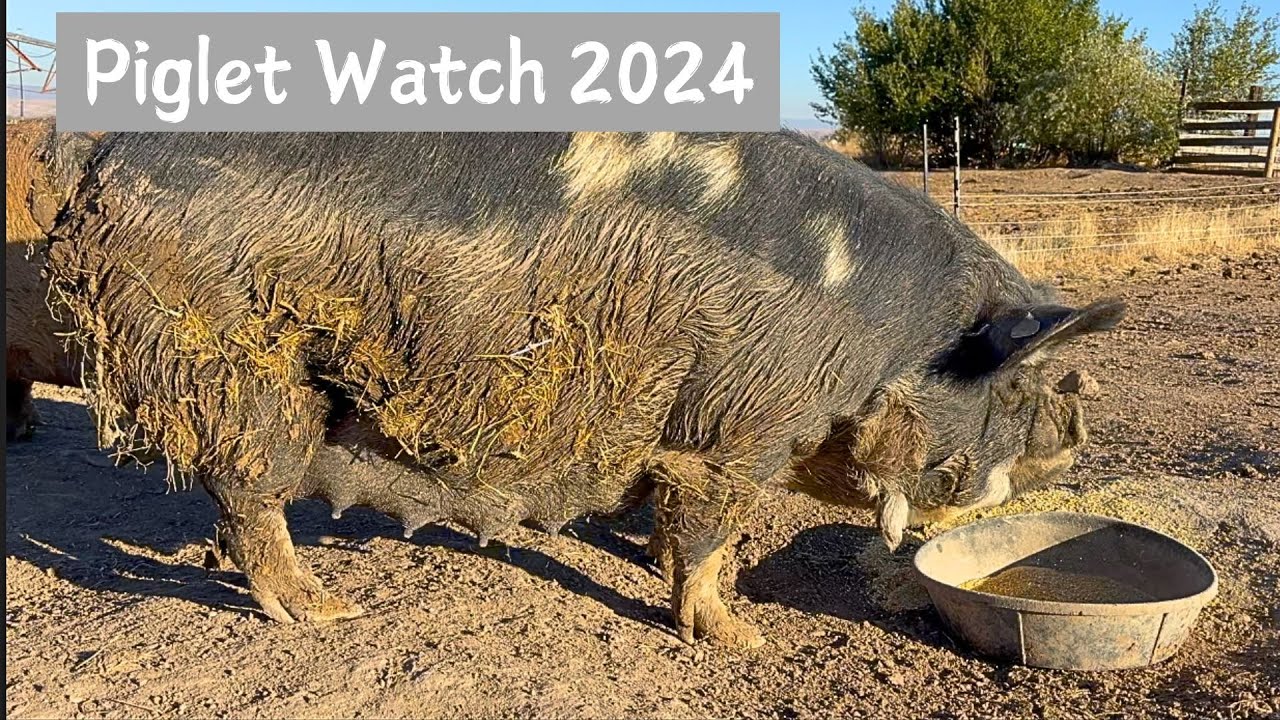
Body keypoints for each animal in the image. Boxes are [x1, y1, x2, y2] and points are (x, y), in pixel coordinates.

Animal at [46, 131, 1122, 647]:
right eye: (1023, 382)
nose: (1080, 416)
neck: (887, 338)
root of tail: (105, 163)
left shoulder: (688, 435)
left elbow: (678, 525)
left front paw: (691, 585)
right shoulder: (740, 424)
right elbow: (712, 527)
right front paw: (743, 640)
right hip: (235, 360)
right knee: (249, 486)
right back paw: (326, 613)